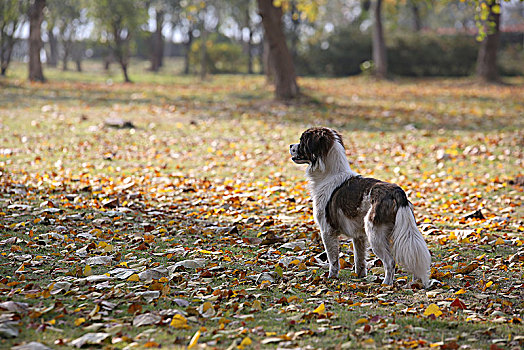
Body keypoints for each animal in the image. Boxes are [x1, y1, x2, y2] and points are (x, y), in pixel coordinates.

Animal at [290, 126, 430, 288]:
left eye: (302, 141)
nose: (290, 146)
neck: (328, 176)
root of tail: (396, 191)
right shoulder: (359, 236)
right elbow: (359, 259)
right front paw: (359, 277)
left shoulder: (327, 231)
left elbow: (333, 260)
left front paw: (331, 277)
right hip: (402, 232)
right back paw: (415, 283)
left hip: (375, 235)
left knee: (390, 262)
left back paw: (386, 284)